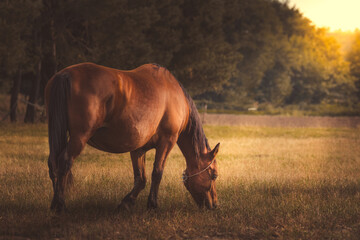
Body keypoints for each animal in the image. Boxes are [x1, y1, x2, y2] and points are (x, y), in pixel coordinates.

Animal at [45, 62, 219, 212]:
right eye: (214, 175)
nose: (215, 205)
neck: (176, 97)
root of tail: (65, 75)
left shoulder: (138, 148)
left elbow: (140, 178)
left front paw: (126, 203)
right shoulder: (167, 141)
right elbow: (157, 173)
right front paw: (152, 205)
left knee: (53, 163)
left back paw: (54, 204)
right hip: (80, 136)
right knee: (64, 162)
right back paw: (60, 205)